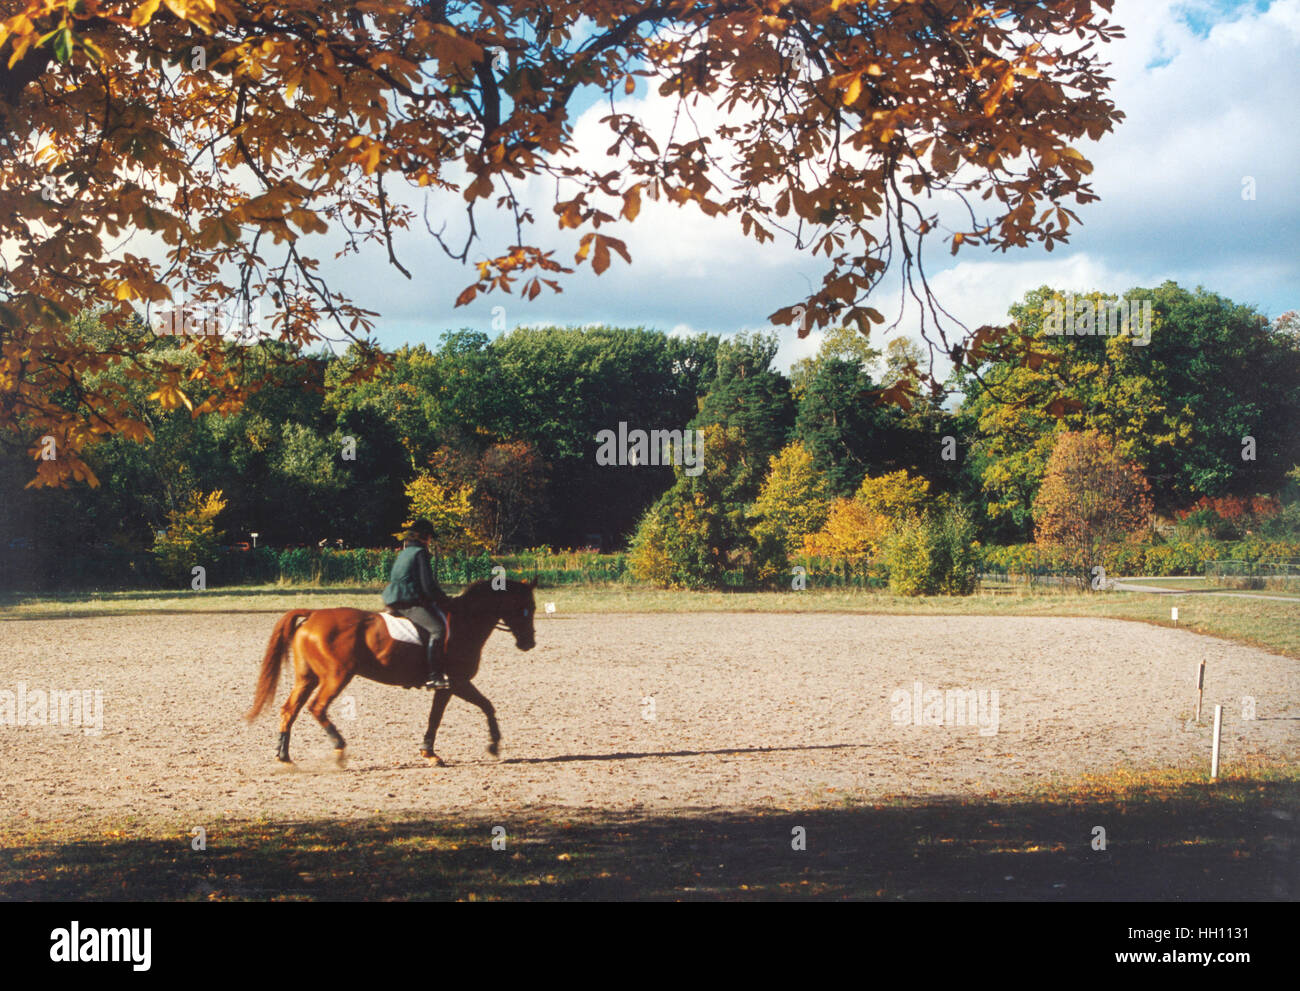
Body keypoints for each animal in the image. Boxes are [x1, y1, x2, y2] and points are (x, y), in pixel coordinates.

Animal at [245, 580, 535, 764]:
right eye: (525, 608)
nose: (529, 643)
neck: (465, 622)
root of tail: (314, 614)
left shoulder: (453, 685)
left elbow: (475, 709)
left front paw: (431, 752)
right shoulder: (455, 683)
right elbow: (462, 711)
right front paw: (489, 746)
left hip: (307, 678)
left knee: (289, 710)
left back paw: (284, 756)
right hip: (336, 677)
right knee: (317, 708)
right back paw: (339, 748)